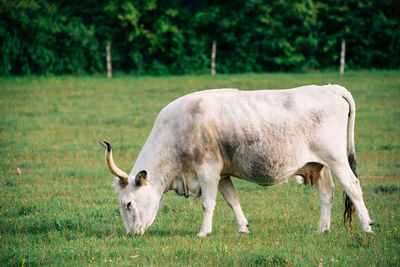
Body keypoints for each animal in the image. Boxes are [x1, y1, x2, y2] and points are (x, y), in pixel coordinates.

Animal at [98, 85, 374, 238]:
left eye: (128, 204)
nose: (131, 234)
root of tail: (330, 87)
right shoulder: (222, 173)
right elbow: (232, 200)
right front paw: (243, 228)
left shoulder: (207, 168)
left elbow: (208, 203)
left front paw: (203, 232)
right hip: (319, 165)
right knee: (327, 193)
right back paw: (321, 230)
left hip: (336, 158)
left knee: (352, 187)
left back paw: (367, 227)